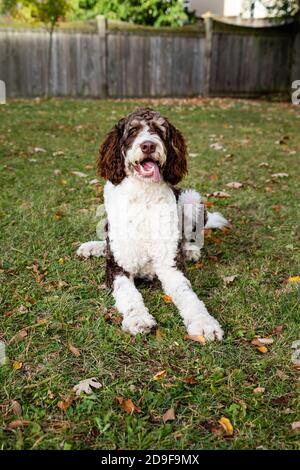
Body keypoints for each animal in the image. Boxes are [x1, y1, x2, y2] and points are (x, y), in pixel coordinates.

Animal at [77, 108, 227, 340]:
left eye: (159, 130)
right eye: (133, 130)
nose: (148, 145)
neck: (143, 196)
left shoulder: (171, 267)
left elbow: (189, 295)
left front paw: (204, 323)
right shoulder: (118, 268)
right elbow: (128, 294)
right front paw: (138, 318)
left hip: (191, 199)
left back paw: (190, 250)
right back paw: (92, 247)